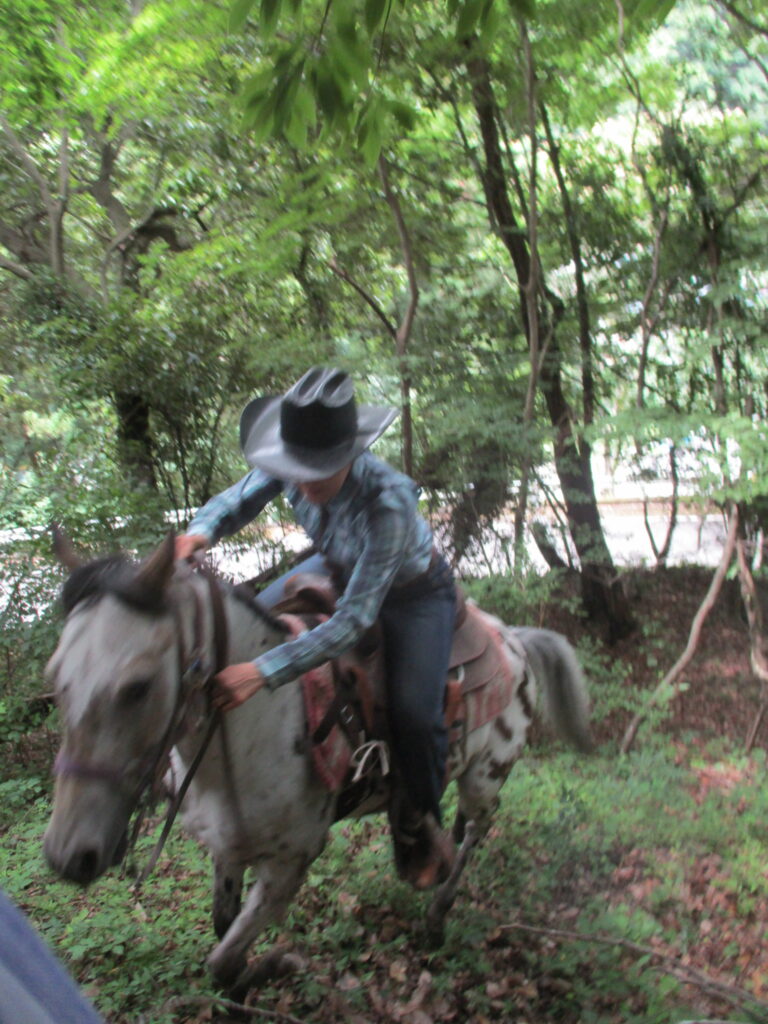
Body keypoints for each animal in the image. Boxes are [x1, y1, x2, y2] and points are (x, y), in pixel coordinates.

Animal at [43, 531, 591, 992]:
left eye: (137, 687)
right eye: (55, 676)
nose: (67, 856)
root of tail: (512, 637)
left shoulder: (290, 865)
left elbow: (222, 960)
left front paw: (278, 963)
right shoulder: (228, 850)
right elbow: (223, 935)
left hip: (486, 776)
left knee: (478, 831)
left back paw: (437, 914)